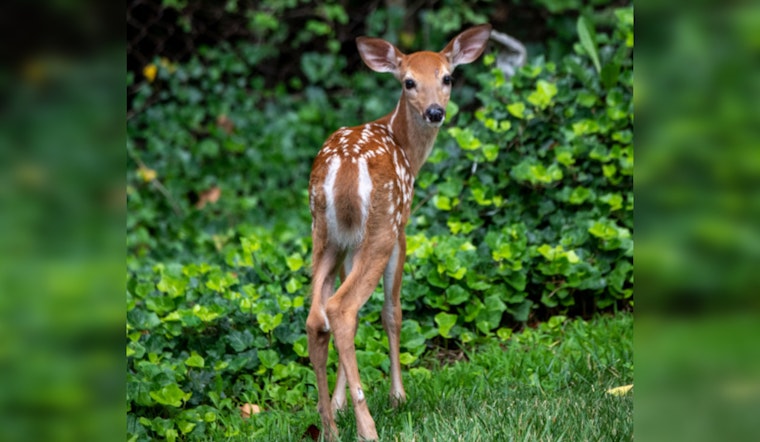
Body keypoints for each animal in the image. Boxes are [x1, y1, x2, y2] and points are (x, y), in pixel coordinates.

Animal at [306, 24, 492, 441]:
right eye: (409, 82)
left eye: (447, 77)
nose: (435, 112)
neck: (404, 145)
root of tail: (343, 170)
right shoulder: (402, 227)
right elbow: (392, 311)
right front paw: (397, 396)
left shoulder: (348, 243)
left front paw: (339, 403)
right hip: (382, 228)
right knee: (342, 309)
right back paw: (368, 427)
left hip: (323, 235)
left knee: (317, 316)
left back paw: (329, 426)